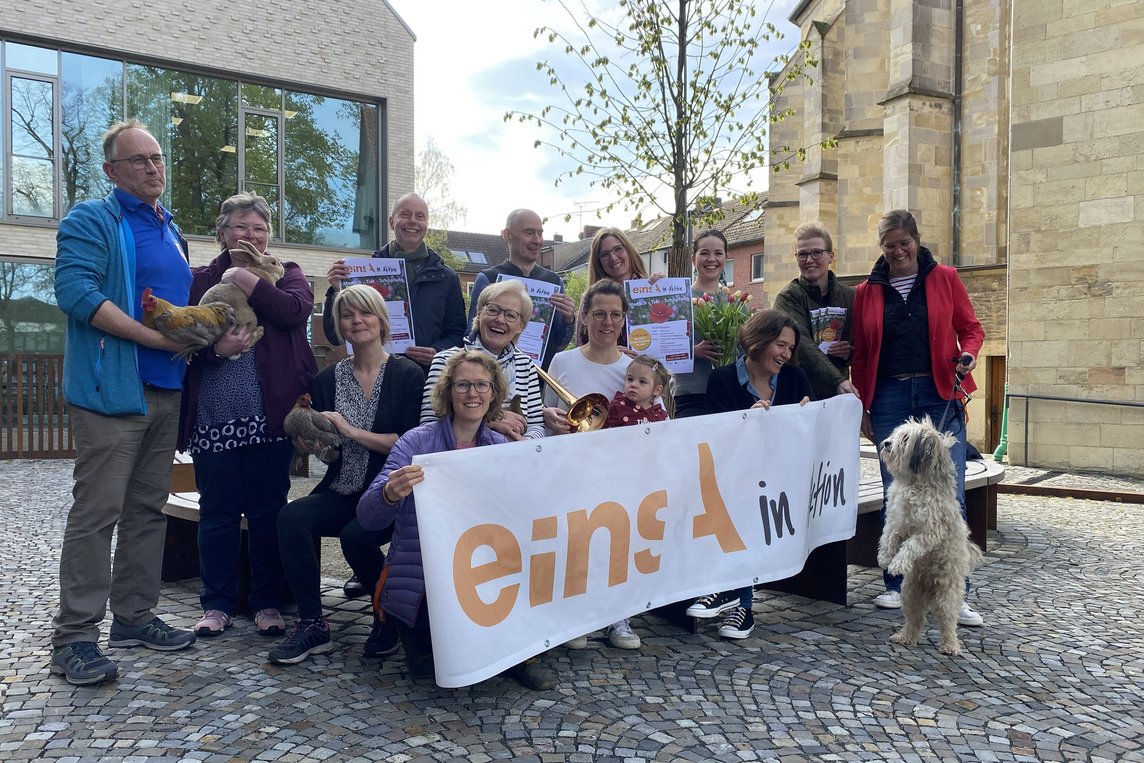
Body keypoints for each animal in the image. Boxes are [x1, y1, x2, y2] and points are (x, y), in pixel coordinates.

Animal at [874, 418, 983, 658]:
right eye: (895, 434)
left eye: (906, 438)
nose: (886, 443)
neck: (915, 482)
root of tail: (929, 588)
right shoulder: (897, 520)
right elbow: (889, 537)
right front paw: (885, 558)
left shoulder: (929, 530)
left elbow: (910, 546)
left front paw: (898, 564)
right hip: (910, 593)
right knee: (915, 620)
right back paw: (904, 637)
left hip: (946, 595)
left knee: (948, 622)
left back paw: (950, 646)